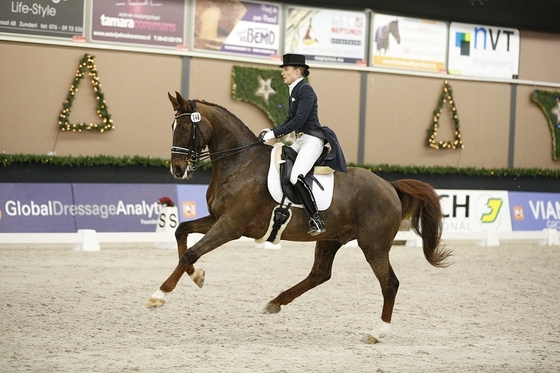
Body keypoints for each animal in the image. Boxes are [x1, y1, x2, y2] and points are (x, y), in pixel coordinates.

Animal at [148, 91, 450, 342]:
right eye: (173, 127)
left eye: (184, 127)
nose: (177, 169)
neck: (240, 163)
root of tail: (390, 186)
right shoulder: (218, 219)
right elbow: (181, 232)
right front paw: (197, 276)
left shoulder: (231, 226)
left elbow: (192, 251)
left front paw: (159, 295)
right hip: (331, 238)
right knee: (320, 274)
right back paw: (275, 303)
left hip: (373, 245)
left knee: (389, 283)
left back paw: (377, 332)